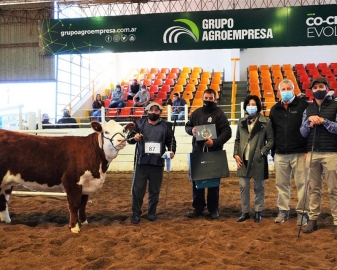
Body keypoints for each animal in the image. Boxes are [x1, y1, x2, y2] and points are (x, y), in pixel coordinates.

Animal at [0, 120, 134, 232]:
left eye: (123, 130)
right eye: (106, 131)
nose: (121, 140)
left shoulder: (86, 184)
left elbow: (83, 205)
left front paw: (84, 222)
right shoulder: (72, 182)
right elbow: (74, 205)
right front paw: (74, 227)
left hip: (6, 183)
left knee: (3, 200)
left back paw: (6, 221)